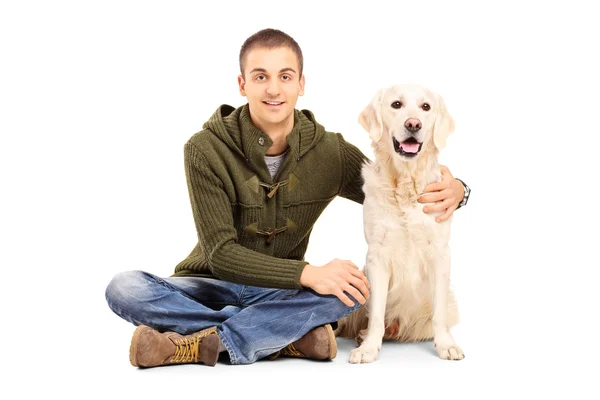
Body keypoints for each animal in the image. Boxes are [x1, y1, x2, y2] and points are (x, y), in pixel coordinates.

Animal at [338, 83, 464, 362]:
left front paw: (446, 345)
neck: (406, 185)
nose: (413, 124)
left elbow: (439, 313)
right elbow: (375, 314)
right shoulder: (377, 254)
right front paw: (369, 348)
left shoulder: (440, 252)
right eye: (396, 105)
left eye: (426, 107)